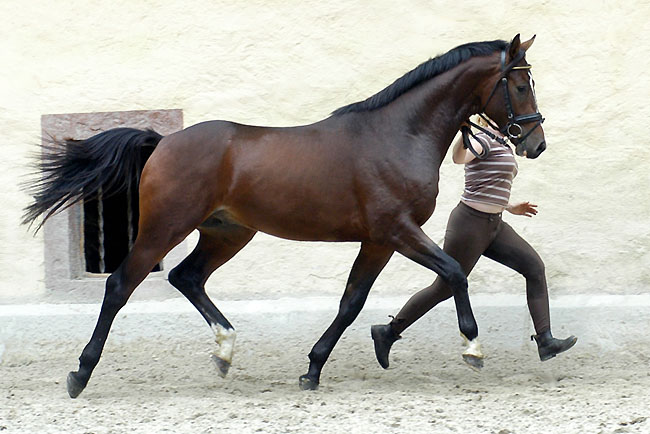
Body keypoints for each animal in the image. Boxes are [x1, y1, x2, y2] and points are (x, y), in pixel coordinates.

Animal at [22, 35, 540, 398]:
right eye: (519, 84)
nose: (536, 143)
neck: (398, 134)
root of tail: (163, 142)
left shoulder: (378, 240)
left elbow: (351, 303)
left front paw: (312, 369)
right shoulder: (397, 230)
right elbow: (454, 272)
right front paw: (473, 348)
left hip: (228, 234)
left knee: (187, 277)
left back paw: (225, 351)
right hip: (165, 227)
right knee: (120, 285)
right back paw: (80, 374)